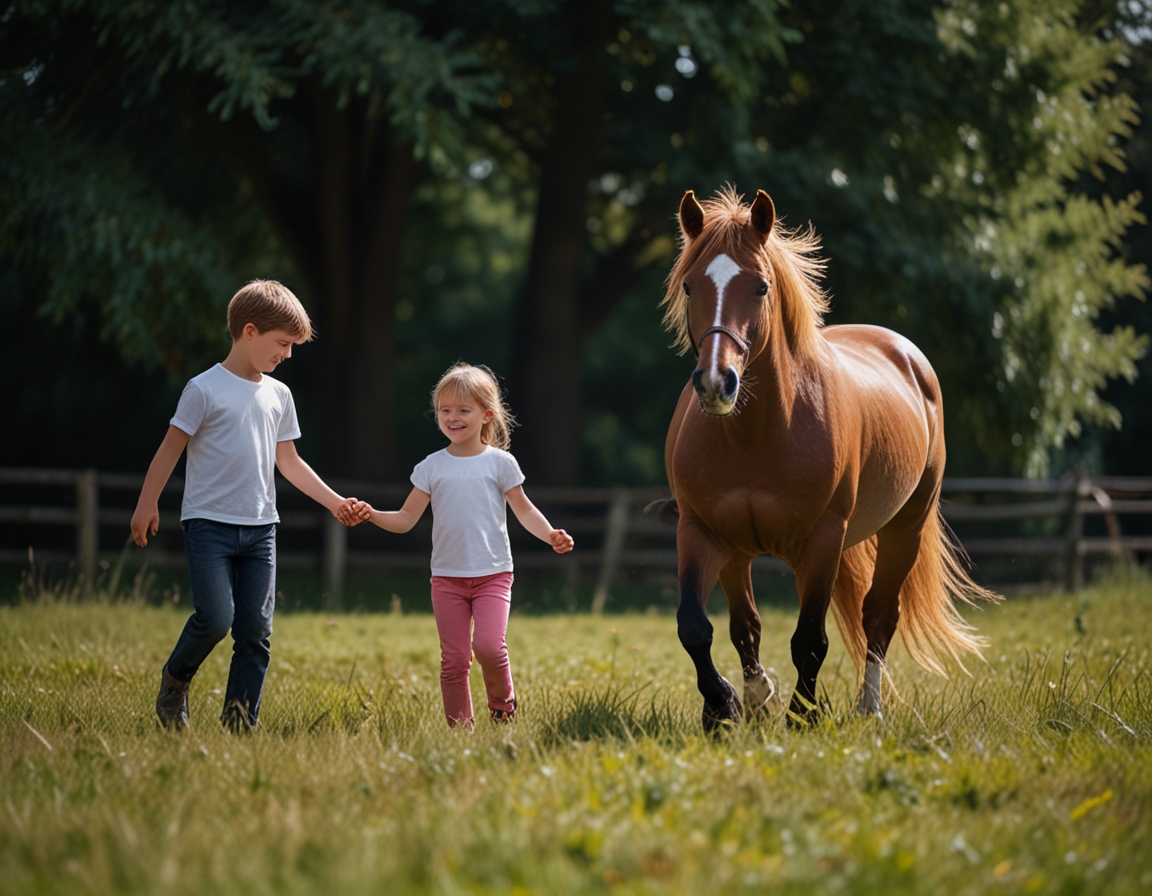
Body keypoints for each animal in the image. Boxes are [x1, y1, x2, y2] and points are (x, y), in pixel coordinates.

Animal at [662, 186, 998, 731]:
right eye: (691, 287)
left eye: (760, 287)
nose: (716, 383)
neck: (755, 437)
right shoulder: (704, 534)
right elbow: (705, 627)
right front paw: (729, 706)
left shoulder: (822, 542)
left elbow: (809, 641)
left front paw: (803, 716)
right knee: (750, 626)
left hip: (904, 528)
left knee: (878, 617)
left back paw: (869, 708)